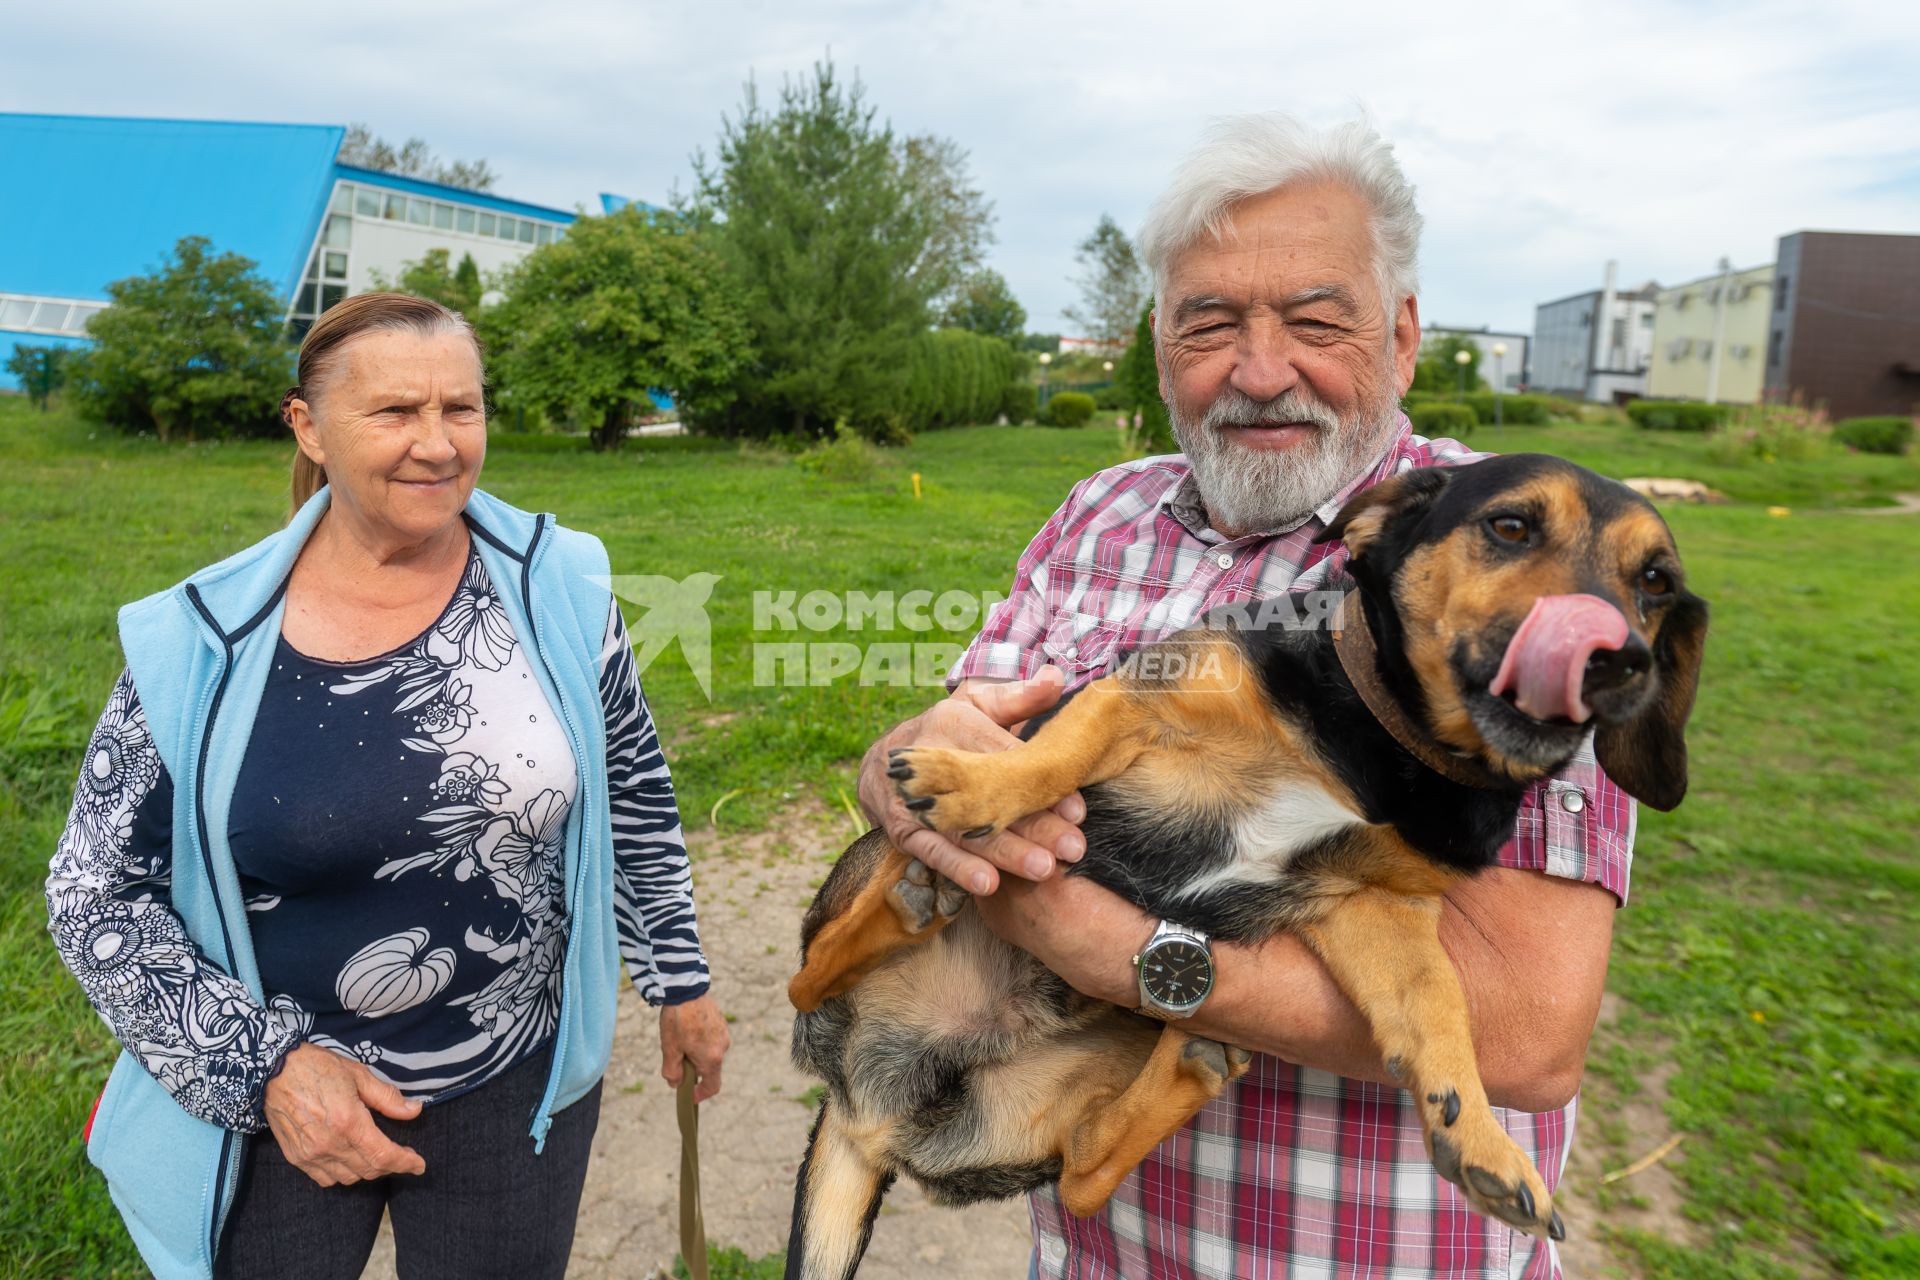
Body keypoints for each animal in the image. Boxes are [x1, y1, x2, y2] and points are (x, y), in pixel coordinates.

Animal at [779, 452, 1712, 1280]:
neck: (1382, 749)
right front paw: (977, 783)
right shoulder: (1140, 698)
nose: (1618, 658)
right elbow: (1049, 758)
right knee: (808, 972)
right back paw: (915, 895)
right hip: (871, 863)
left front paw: (1477, 1134)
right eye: (1510, 526)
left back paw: (1187, 1065)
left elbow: (1436, 1003)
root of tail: (864, 1114)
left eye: (1656, 581)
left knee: (1081, 1172)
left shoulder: (1374, 906)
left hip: (1083, 1068)